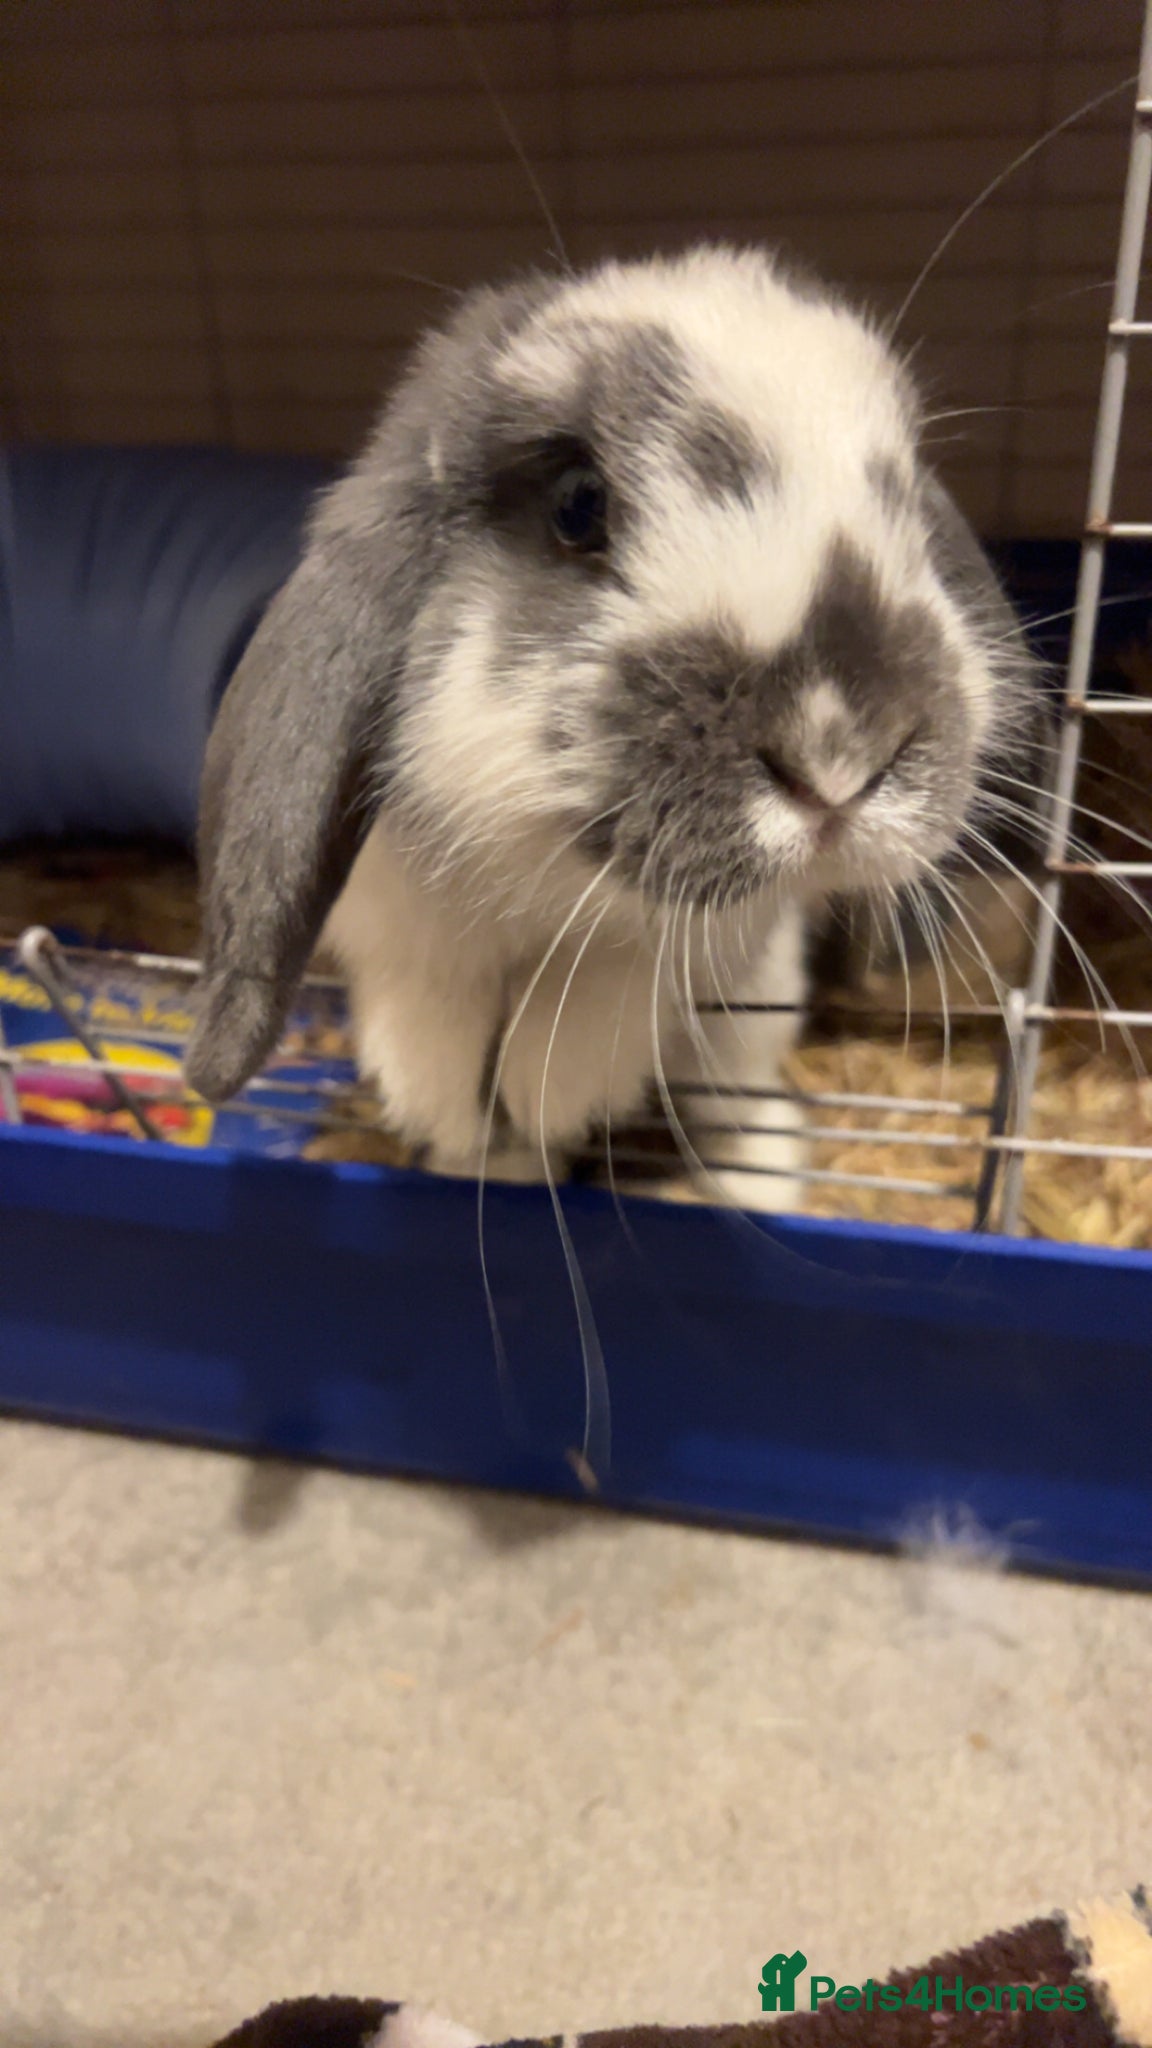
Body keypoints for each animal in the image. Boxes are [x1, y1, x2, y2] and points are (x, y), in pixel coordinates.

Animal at [185, 243, 1043, 1210]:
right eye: (578, 504)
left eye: (906, 497)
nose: (842, 754)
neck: (546, 885)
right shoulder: (398, 930)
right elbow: (434, 1008)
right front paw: (451, 1112)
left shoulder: (712, 946)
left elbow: (615, 987)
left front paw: (548, 1091)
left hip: (750, 1026)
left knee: (740, 1104)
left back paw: (748, 1180)